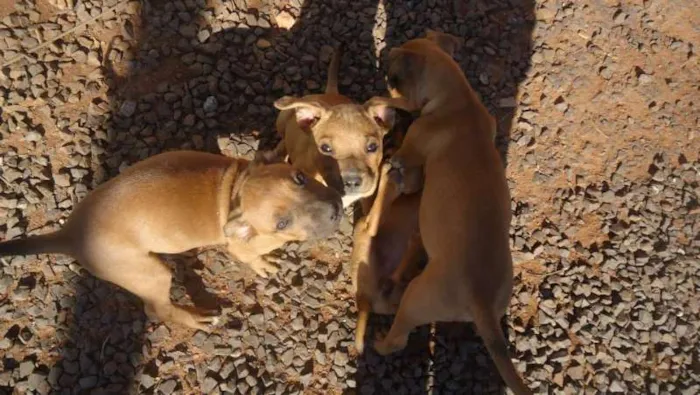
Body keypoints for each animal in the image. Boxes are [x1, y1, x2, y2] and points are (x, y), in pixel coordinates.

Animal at [0, 152, 342, 332]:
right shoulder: (241, 245)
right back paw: (197, 318)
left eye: (300, 178)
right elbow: (250, 256)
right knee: (158, 310)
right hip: (151, 273)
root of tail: (70, 234)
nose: (336, 209)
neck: (237, 189)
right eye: (281, 223)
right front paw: (262, 264)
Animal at [370, 28, 532, 395]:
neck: (459, 99)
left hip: (418, 296)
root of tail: (481, 301)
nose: (387, 52)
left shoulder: (409, 150)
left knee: (398, 337)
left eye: (393, 75)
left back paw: (378, 341)